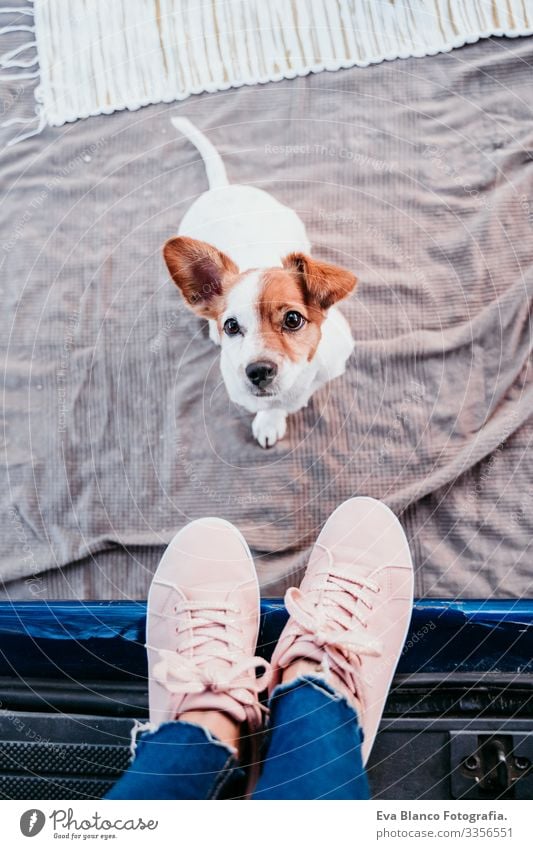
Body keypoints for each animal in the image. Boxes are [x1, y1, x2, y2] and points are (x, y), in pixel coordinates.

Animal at [160, 120, 356, 450]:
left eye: (293, 319)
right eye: (231, 326)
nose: (258, 371)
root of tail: (222, 188)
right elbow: (270, 404)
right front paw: (270, 419)